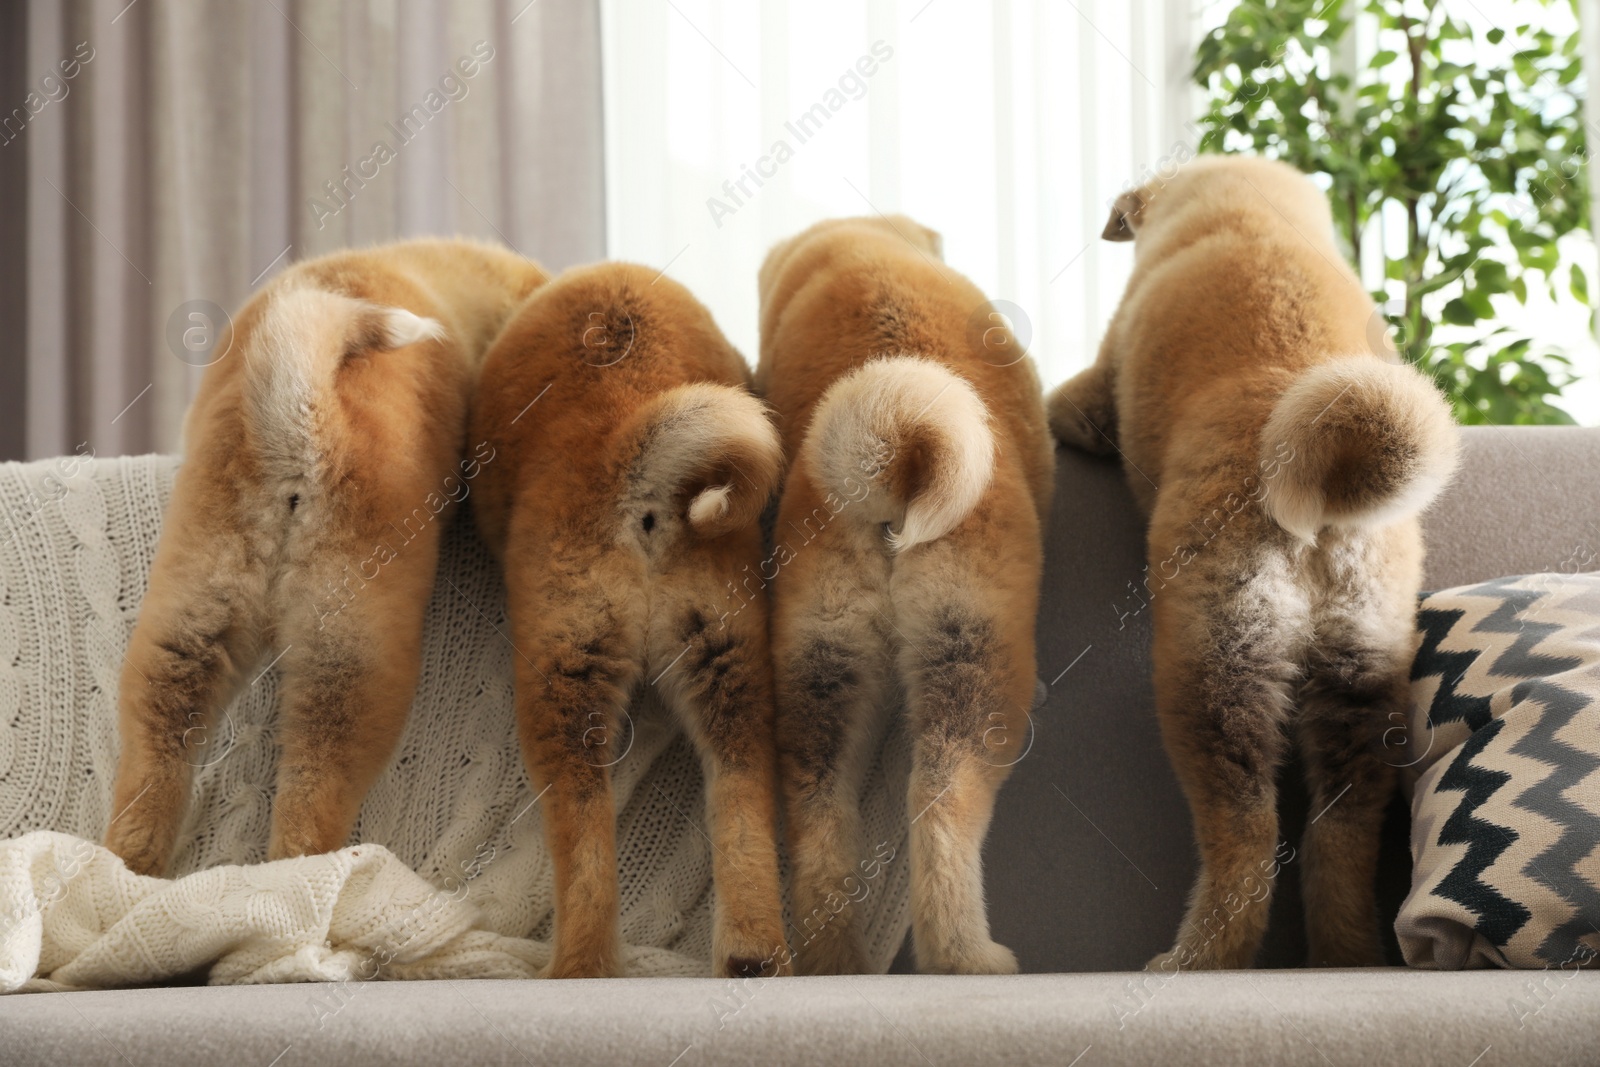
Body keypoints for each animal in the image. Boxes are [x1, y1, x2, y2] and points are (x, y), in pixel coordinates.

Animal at [109, 239, 550, 876]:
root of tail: (302, 422)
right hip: (351, 660)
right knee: (309, 807)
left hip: (188, 623)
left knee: (155, 759)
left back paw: (131, 870)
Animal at [467, 262, 793, 979]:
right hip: (727, 658)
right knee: (742, 799)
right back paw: (752, 952)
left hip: (564, 678)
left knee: (584, 840)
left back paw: (575, 968)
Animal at [758, 217, 1056, 979]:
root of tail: (891, 461)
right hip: (971, 661)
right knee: (942, 802)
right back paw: (971, 957)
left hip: (821, 666)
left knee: (820, 819)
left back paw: (838, 962)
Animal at [1049, 156, 1465, 966]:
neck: (1248, 214)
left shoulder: (1094, 386)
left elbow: (1063, 402)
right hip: (1364, 671)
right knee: (1342, 831)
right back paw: (1345, 953)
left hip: (1216, 663)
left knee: (1246, 834)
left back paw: (1196, 957)